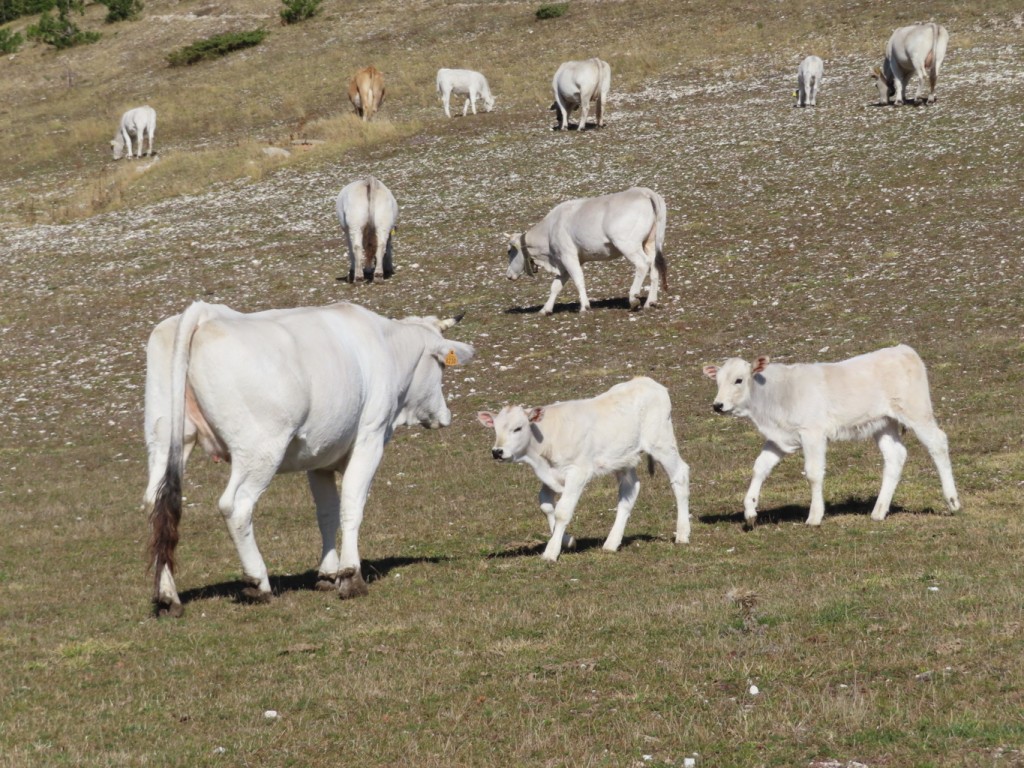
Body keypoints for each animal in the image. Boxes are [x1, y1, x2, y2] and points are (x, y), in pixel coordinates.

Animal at [144, 301, 475, 618]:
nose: (445, 415)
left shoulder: (320, 455)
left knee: (159, 506)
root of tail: (204, 314)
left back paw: (167, 596)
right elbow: (351, 505)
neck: (387, 345)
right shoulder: (370, 437)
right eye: (441, 366)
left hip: (165, 440)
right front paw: (350, 577)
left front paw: (327, 574)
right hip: (259, 449)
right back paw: (258, 582)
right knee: (235, 506)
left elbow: (326, 512)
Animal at [477, 376, 688, 561]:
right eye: (495, 429)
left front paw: (551, 552)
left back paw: (683, 534)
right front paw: (567, 540)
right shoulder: (552, 475)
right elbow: (546, 504)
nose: (497, 451)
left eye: (518, 428)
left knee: (680, 475)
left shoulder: (577, 472)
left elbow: (562, 510)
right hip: (624, 458)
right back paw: (611, 543)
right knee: (630, 490)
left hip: (661, 443)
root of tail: (646, 381)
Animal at [505, 186, 667, 315]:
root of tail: (643, 191)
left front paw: (584, 307)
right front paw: (546, 309)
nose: (508, 275)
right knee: (654, 268)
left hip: (627, 244)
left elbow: (578, 280)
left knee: (642, 264)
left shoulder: (568, 255)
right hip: (650, 242)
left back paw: (633, 299)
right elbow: (555, 286)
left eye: (509, 251)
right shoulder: (564, 262)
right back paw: (650, 302)